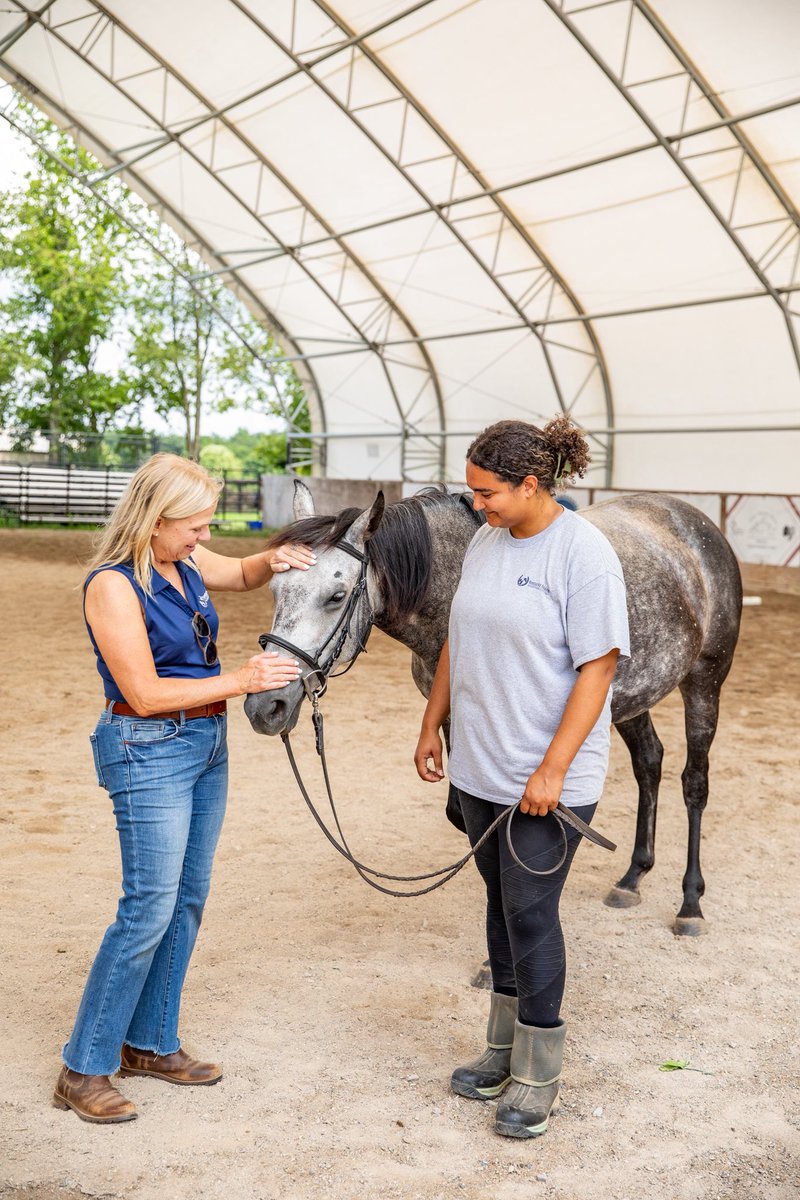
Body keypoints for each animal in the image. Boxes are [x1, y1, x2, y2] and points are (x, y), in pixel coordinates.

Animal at [245, 481, 742, 936]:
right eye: (274, 588)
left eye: (335, 596)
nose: (264, 706)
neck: (453, 585)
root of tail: (692, 520)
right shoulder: (453, 720)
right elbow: (465, 817)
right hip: (633, 696)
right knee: (649, 763)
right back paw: (633, 877)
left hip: (705, 682)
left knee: (694, 784)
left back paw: (690, 904)